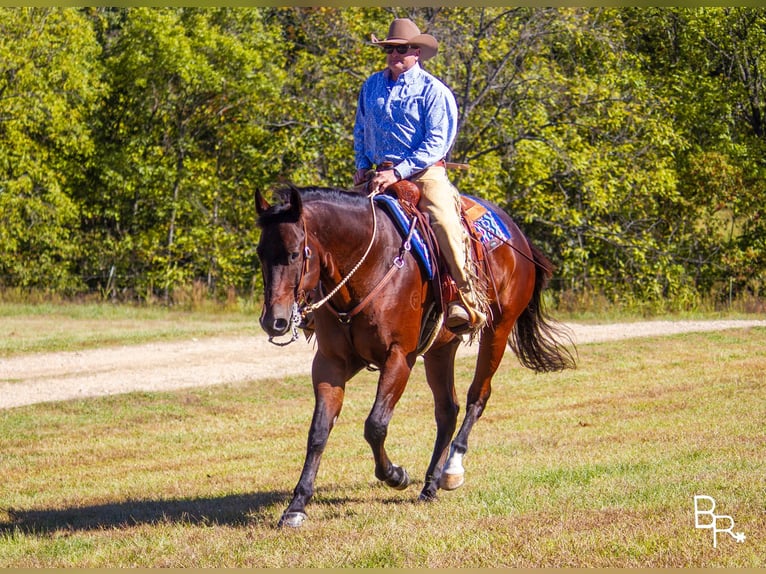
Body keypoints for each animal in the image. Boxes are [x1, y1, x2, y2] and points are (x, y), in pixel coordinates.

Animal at [258, 186, 576, 532]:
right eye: (261, 253)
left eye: (293, 253)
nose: (274, 321)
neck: (370, 263)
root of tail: (517, 235)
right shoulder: (332, 363)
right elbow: (318, 432)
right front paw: (296, 506)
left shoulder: (399, 357)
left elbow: (375, 426)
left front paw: (396, 475)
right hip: (440, 350)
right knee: (448, 410)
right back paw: (431, 484)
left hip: (498, 331)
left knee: (477, 397)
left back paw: (451, 470)